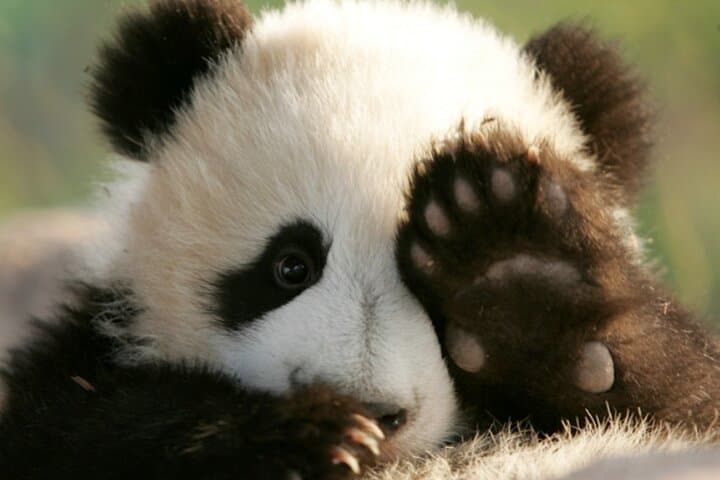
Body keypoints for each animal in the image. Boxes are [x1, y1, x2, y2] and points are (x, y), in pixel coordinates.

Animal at [1, 0, 718, 478]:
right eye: (291, 266)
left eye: (431, 298)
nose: (372, 409)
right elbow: (71, 432)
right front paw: (307, 433)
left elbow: (683, 396)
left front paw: (517, 276)